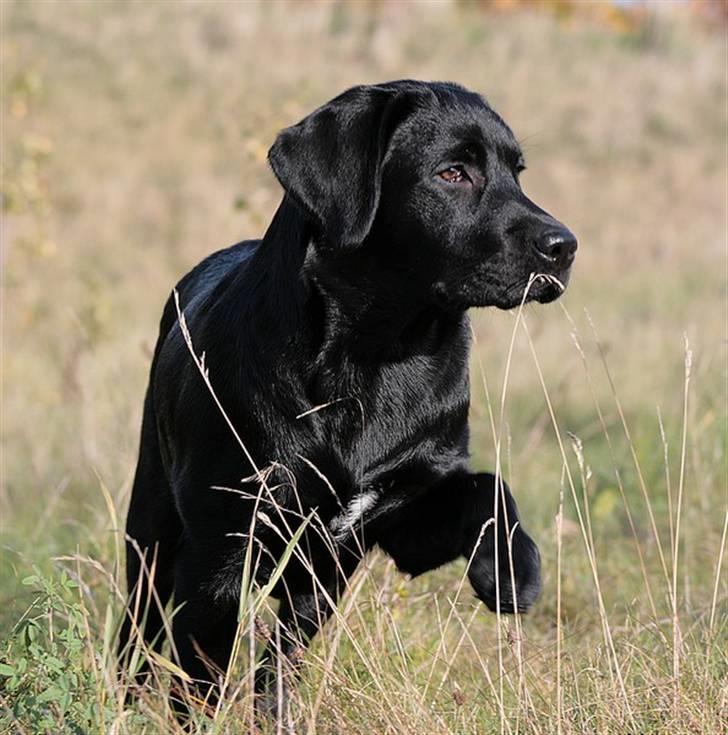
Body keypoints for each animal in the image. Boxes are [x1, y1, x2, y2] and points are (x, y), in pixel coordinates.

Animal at [118, 80, 576, 720]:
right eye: (452, 172)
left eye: (517, 172)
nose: (564, 247)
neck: (377, 356)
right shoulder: (220, 550)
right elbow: (198, 681)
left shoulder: (399, 517)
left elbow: (487, 487)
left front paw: (514, 571)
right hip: (153, 526)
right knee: (139, 636)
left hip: (313, 584)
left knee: (279, 659)